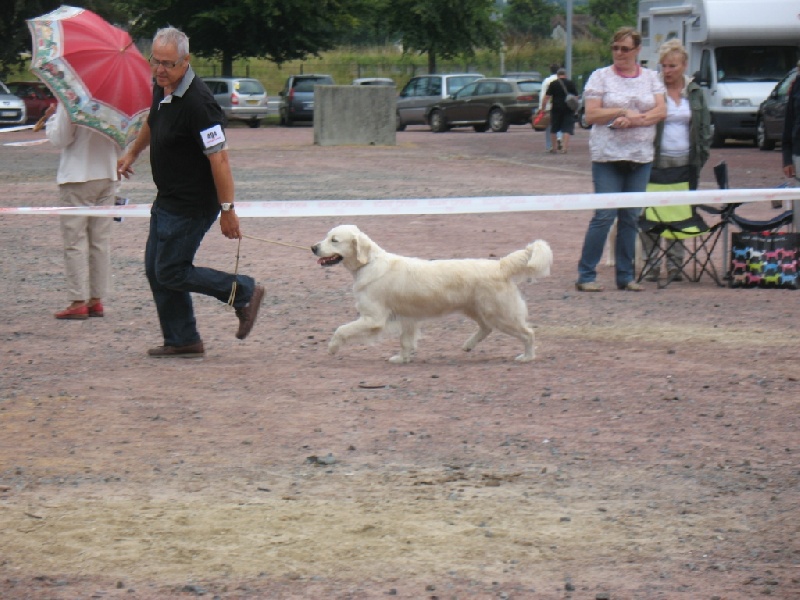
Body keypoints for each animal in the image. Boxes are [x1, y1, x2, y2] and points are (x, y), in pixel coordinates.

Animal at [310, 225, 552, 364]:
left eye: (334, 240)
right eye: (326, 236)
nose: (313, 247)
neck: (368, 263)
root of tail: (500, 266)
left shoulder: (374, 319)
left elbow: (341, 329)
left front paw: (332, 348)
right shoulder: (407, 318)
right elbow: (406, 342)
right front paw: (402, 358)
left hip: (501, 314)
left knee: (528, 333)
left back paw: (527, 356)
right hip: (477, 309)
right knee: (486, 328)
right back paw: (468, 345)